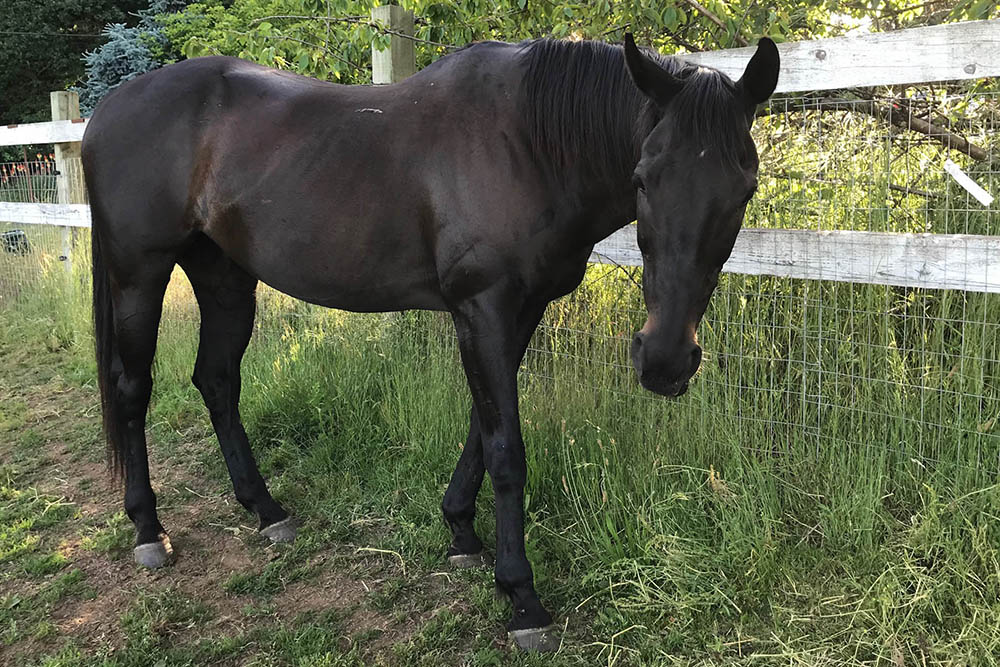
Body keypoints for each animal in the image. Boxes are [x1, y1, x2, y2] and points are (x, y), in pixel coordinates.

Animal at [82, 34, 776, 648]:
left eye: (745, 188)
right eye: (643, 177)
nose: (665, 362)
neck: (526, 145)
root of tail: (107, 111)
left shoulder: (515, 312)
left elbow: (482, 427)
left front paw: (461, 533)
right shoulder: (483, 307)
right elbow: (506, 447)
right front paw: (521, 598)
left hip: (224, 275)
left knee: (217, 380)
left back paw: (267, 510)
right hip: (139, 273)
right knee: (132, 389)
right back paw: (149, 529)